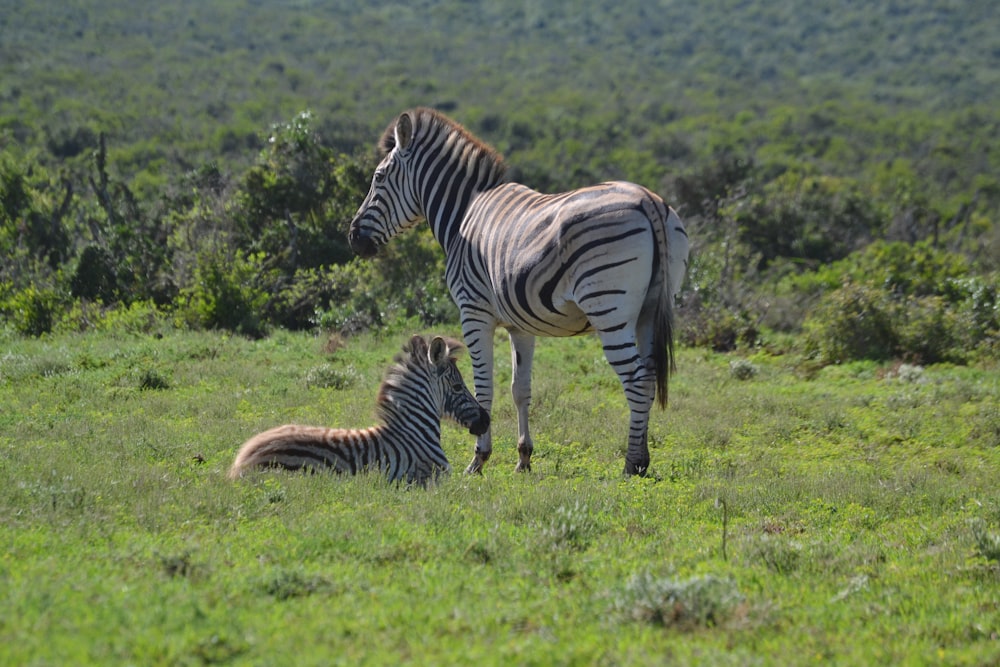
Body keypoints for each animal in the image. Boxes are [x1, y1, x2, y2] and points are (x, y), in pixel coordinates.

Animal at [346, 108, 688, 474]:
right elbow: (519, 389)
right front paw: (524, 458)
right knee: (649, 377)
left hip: (608, 307)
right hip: (649, 310)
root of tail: (647, 199)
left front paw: (478, 459)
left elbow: (484, 388)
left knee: (636, 380)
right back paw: (642, 459)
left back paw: (632, 463)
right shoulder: (520, 325)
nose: (353, 237)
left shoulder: (473, 312)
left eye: (379, 177)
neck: (464, 213)